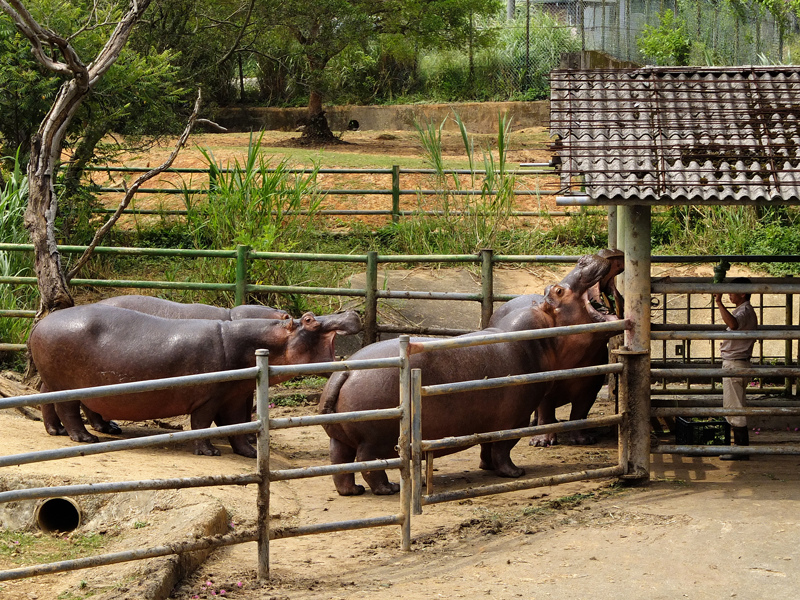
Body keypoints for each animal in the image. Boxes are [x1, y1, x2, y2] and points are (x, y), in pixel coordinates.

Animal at [28, 308, 360, 458]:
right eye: (309, 320)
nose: (351, 311)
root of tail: (39, 323)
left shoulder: (234, 396)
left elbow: (237, 425)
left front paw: (251, 453)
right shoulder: (209, 398)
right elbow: (202, 423)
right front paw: (210, 452)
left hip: (58, 382)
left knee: (48, 400)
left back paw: (63, 431)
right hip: (68, 386)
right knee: (68, 409)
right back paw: (85, 439)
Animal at [488, 247, 624, 446]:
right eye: (558, 291)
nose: (590, 255)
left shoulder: (591, 384)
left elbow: (580, 413)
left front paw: (583, 439)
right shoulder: (544, 380)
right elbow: (546, 411)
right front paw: (541, 442)